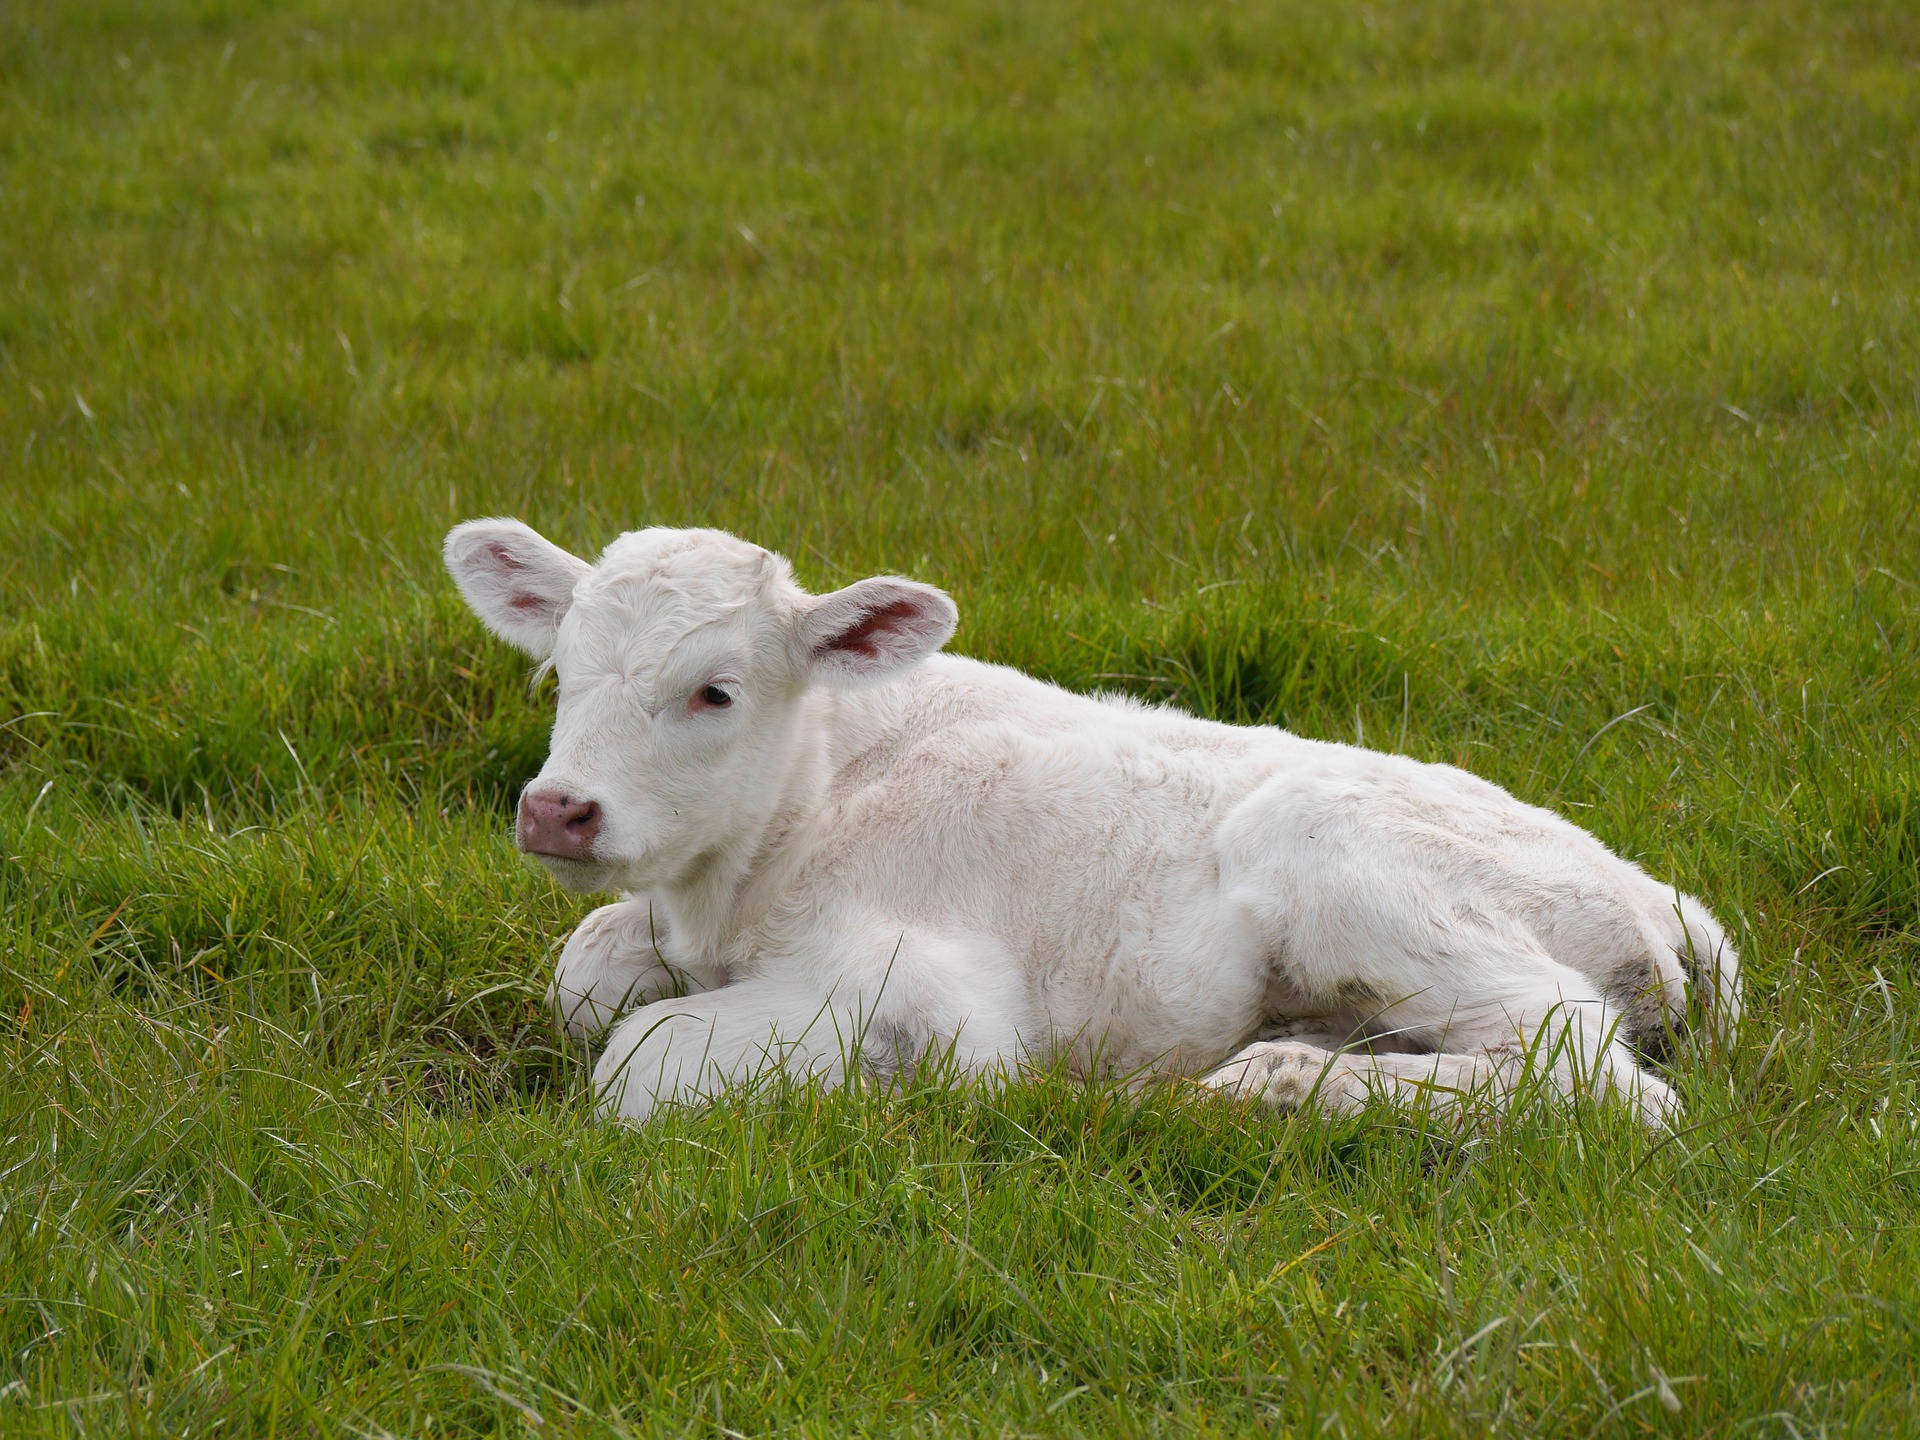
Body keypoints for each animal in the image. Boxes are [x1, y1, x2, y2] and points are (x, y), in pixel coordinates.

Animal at [444, 520, 1740, 1127]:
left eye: (714, 690)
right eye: (560, 668)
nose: (559, 810)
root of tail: (1665, 900)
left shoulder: (926, 985)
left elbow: (636, 1061)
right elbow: (584, 970)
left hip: (1345, 859)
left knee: (1598, 1074)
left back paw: (1265, 1085)